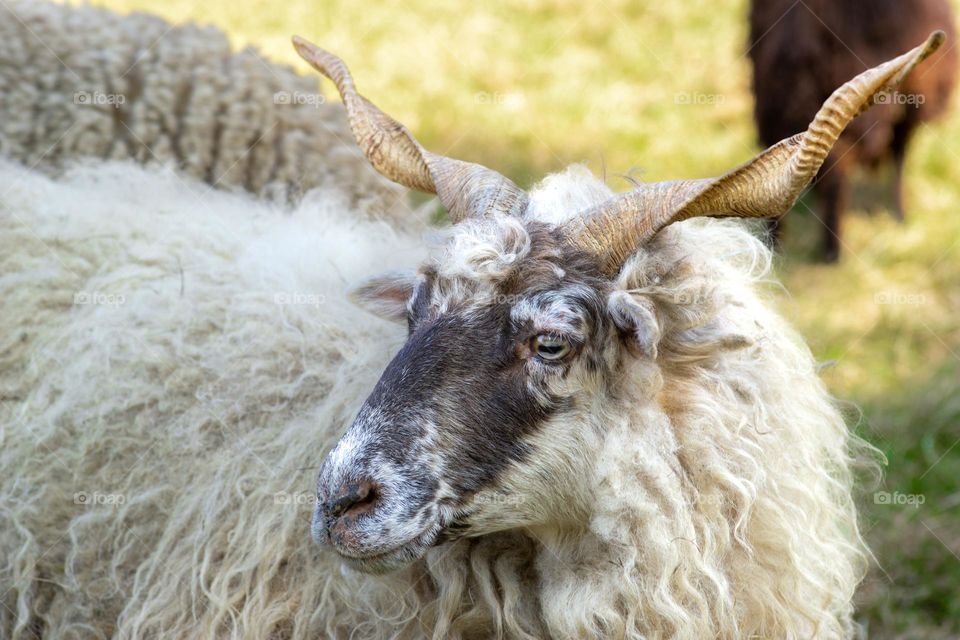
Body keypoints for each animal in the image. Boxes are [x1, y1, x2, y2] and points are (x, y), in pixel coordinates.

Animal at [748, 0, 956, 262]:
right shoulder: (912, 96)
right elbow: (900, 154)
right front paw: (900, 214)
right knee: (840, 179)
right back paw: (833, 252)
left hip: (773, 101)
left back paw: (774, 247)